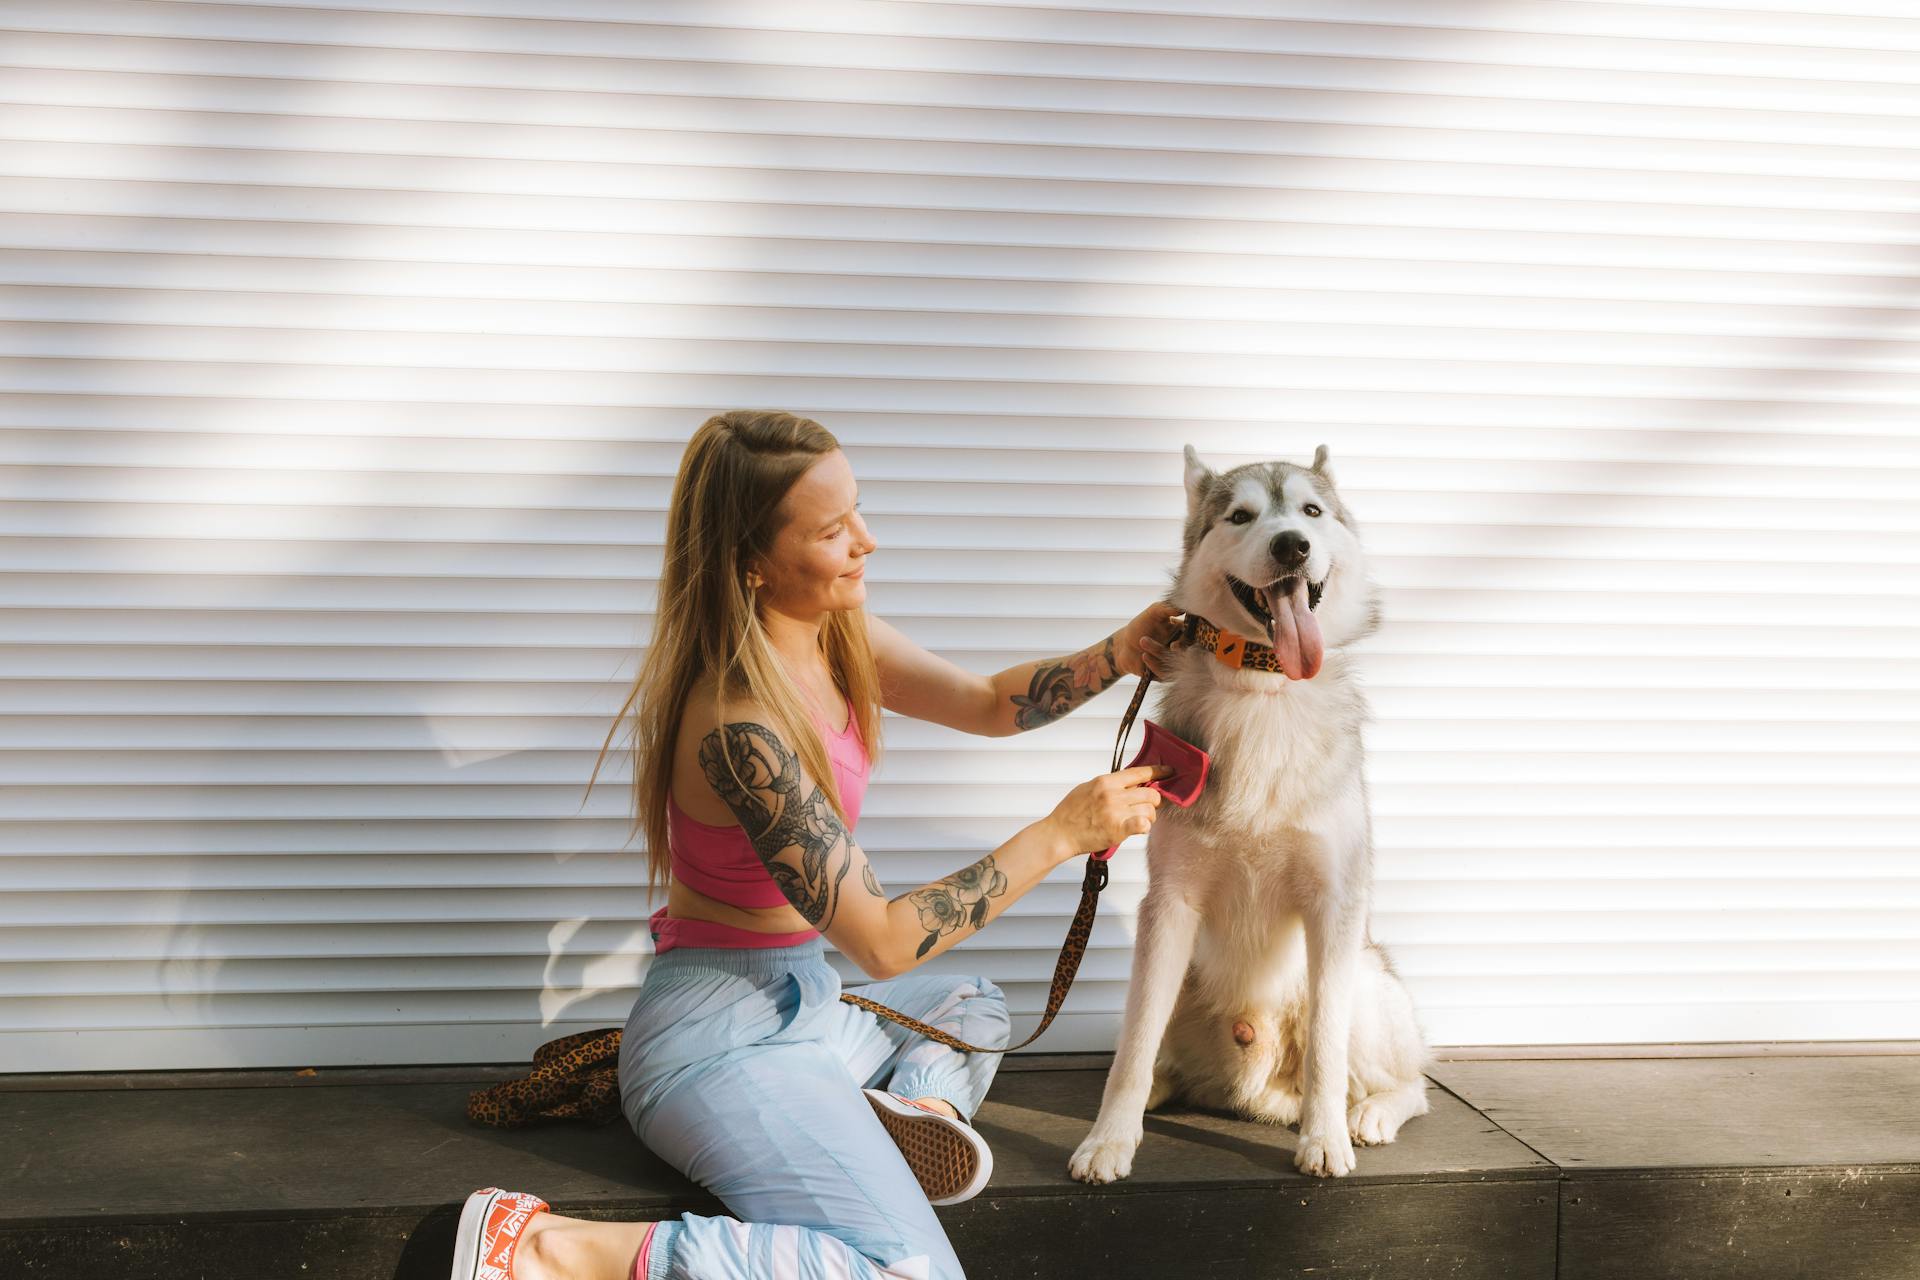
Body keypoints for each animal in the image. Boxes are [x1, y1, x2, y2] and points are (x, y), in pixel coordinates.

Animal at [1075, 449, 1436, 1182]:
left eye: (1311, 511)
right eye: (1240, 516)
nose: (1291, 545)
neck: (1266, 688)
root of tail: (1258, 1088)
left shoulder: (1334, 905)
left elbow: (1327, 1048)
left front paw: (1325, 1139)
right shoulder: (1169, 905)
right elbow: (1132, 1047)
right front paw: (1110, 1137)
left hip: (1364, 982)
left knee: (1411, 1082)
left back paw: (1370, 1114)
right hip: (1179, 976)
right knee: (1157, 1047)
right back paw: (1162, 1087)